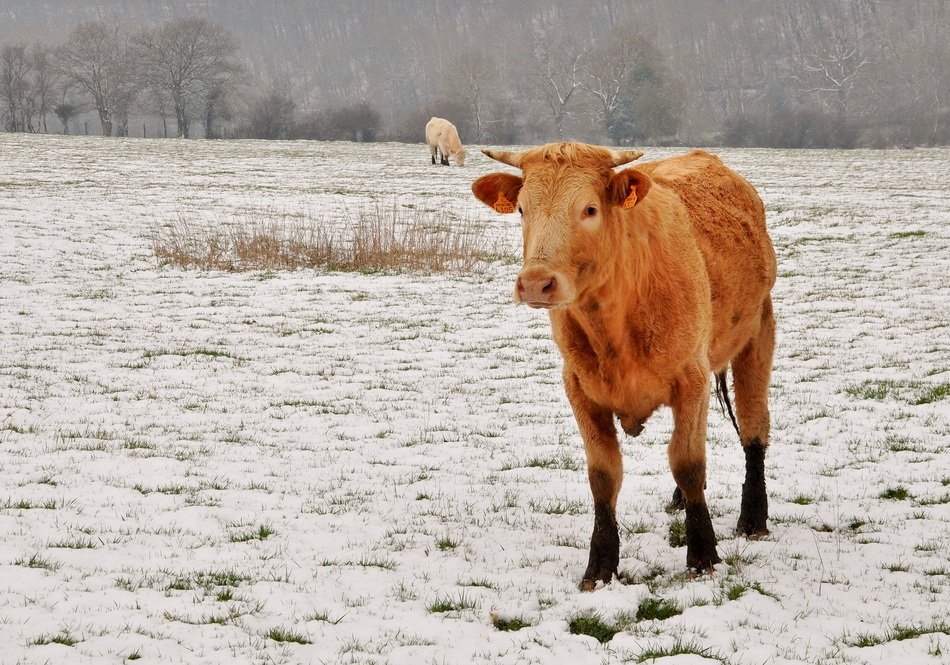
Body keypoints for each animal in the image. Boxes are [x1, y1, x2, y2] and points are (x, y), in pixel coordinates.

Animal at [472, 143, 776, 590]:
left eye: (590, 209)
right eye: (523, 209)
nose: (535, 282)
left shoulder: (693, 378)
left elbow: (687, 461)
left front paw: (703, 554)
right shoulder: (579, 388)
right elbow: (603, 476)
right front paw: (600, 566)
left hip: (758, 335)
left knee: (754, 428)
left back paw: (753, 517)